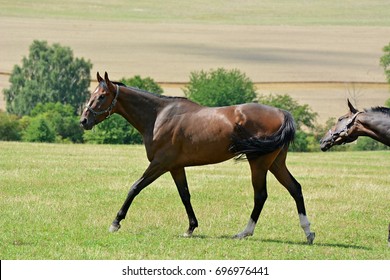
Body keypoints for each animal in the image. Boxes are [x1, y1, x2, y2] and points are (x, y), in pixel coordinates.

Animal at [80, 72, 316, 245]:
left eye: (102, 96)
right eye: (92, 94)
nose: (83, 120)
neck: (158, 116)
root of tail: (282, 113)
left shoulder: (159, 164)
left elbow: (135, 187)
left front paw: (116, 222)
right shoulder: (175, 167)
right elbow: (185, 195)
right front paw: (191, 227)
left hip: (259, 163)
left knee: (261, 196)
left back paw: (244, 232)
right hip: (276, 163)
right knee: (295, 188)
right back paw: (308, 232)